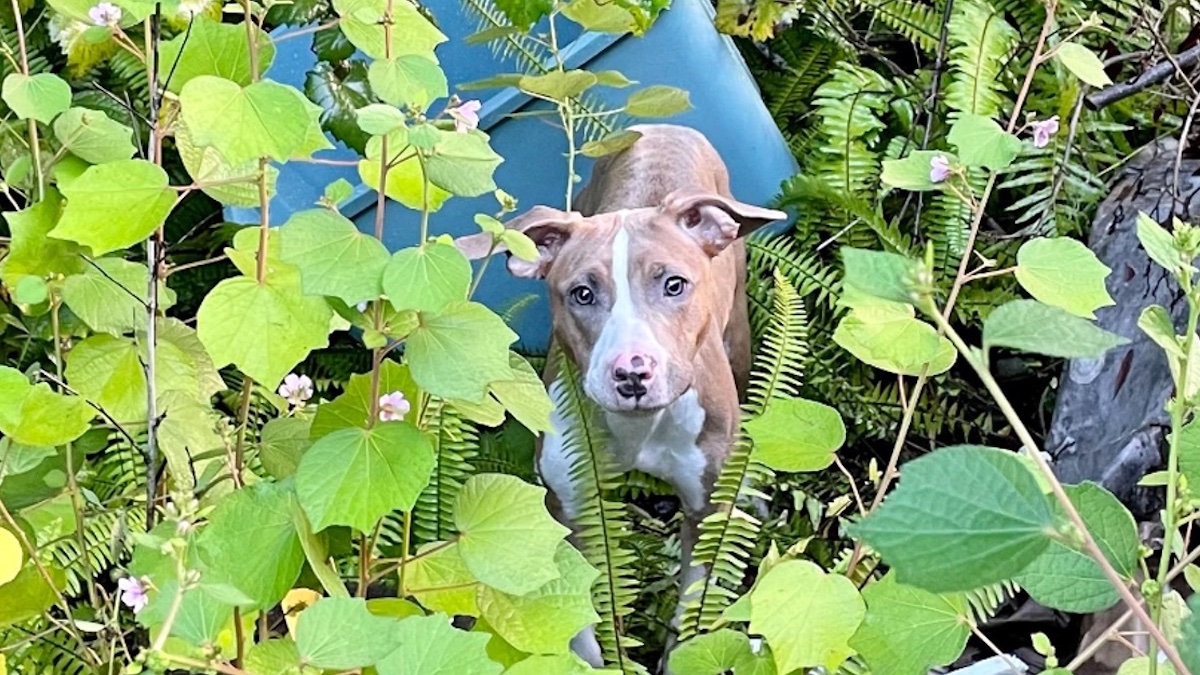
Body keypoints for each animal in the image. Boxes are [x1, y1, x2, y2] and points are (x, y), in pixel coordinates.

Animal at [453, 123, 782, 662]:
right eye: (582, 294)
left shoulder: (704, 509)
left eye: (674, 285)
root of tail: (664, 126)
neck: (639, 428)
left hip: (738, 337)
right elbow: (581, 624)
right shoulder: (572, 508)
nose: (632, 373)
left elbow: (692, 604)